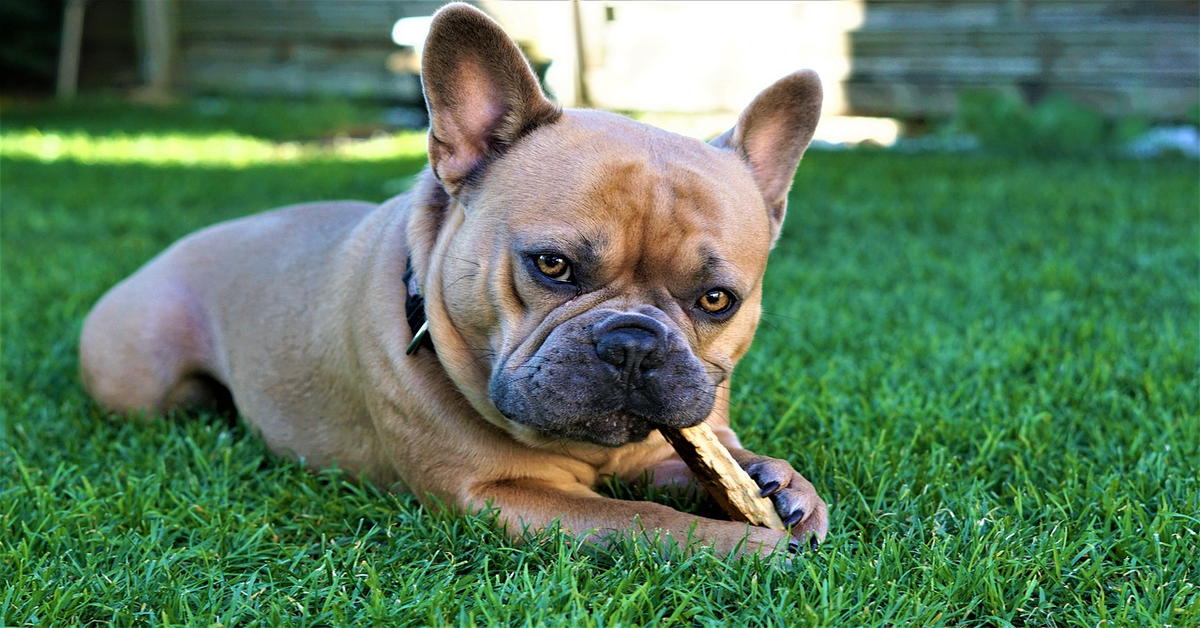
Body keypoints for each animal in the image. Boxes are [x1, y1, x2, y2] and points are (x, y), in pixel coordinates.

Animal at [79, 3, 830, 554]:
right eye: (551, 265)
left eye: (716, 300)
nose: (633, 343)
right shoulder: (501, 495)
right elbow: (644, 520)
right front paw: (741, 544)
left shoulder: (660, 447)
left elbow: (707, 461)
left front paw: (778, 482)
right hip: (142, 382)